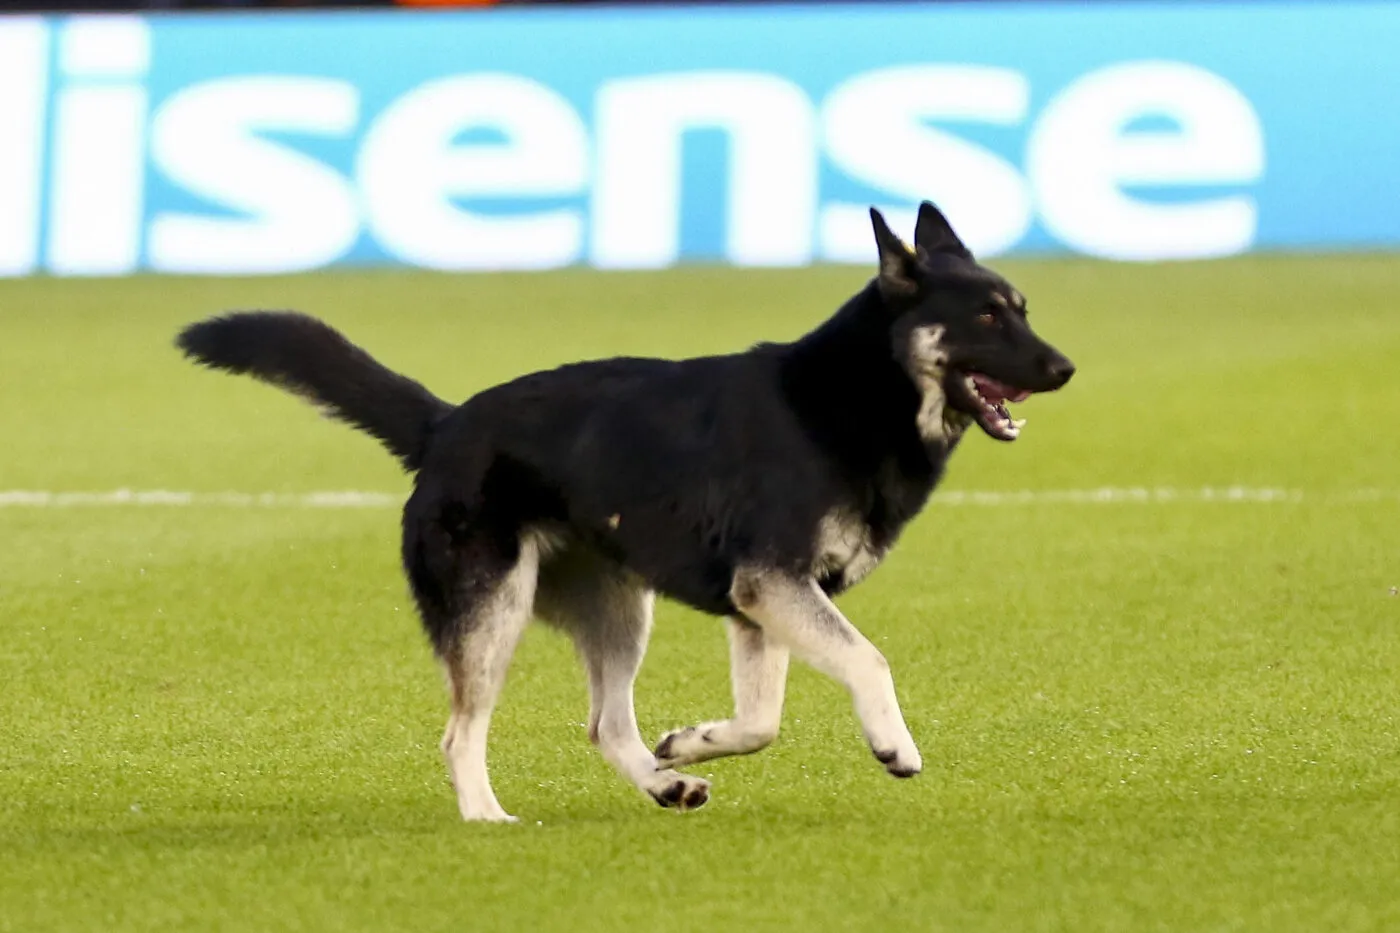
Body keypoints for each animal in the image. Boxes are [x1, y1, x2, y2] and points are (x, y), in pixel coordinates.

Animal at [175, 200, 1069, 818]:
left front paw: (693, 742)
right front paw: (892, 743)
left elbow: (762, 720)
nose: (1064, 367)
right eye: (987, 315)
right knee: (461, 732)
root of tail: (445, 424)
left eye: (1022, 307)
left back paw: (663, 782)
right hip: (494, 610)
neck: (855, 396)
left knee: (606, 724)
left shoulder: (760, 604)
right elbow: (869, 660)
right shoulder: (773, 584)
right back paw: (487, 818)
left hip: (620, 607)